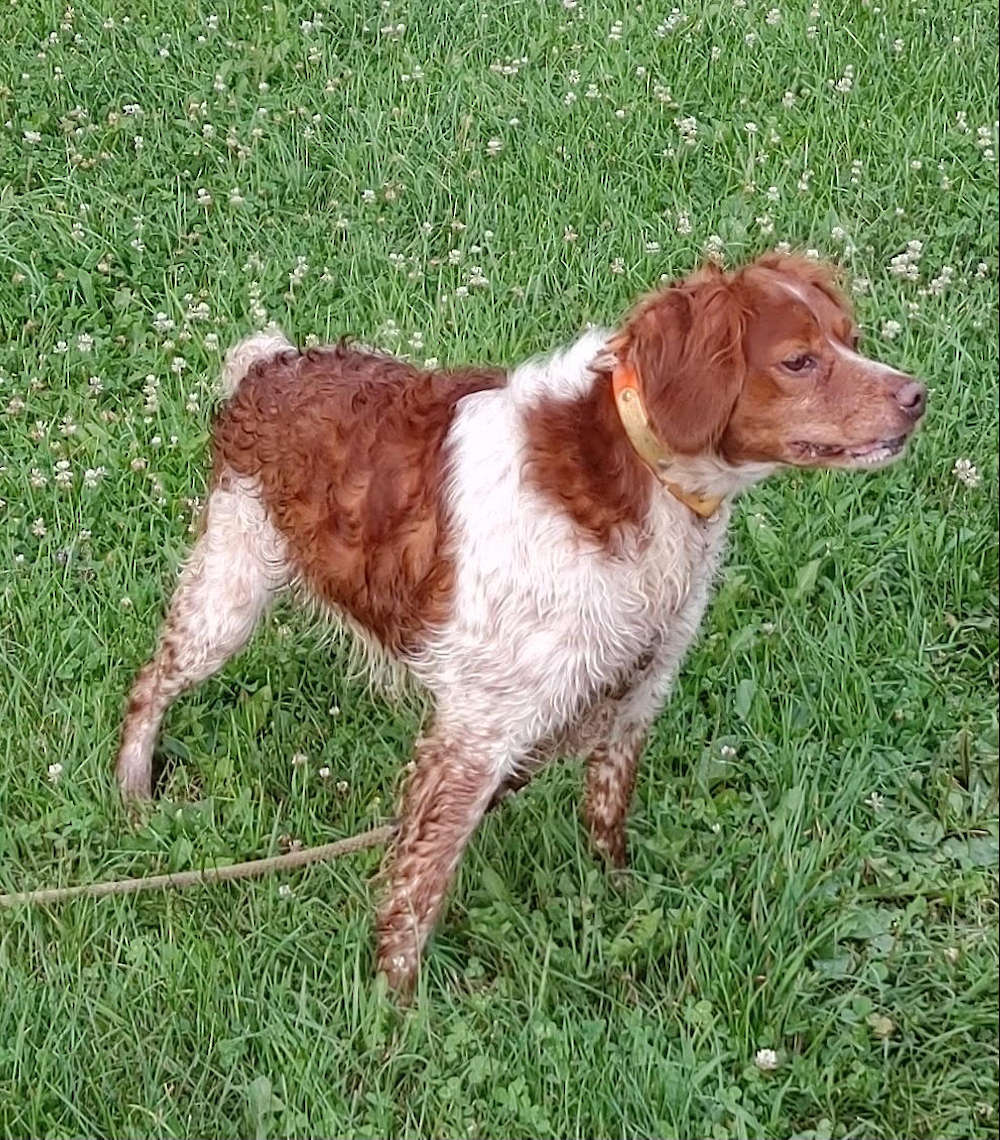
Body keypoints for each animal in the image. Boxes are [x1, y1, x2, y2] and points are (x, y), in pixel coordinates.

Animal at [115, 249, 921, 989]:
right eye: (798, 360)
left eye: (848, 338)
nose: (917, 395)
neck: (640, 479)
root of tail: (269, 367)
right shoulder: (478, 732)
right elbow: (419, 886)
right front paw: (396, 1012)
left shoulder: (638, 689)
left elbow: (606, 819)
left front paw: (615, 903)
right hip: (228, 591)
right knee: (148, 684)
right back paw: (132, 794)